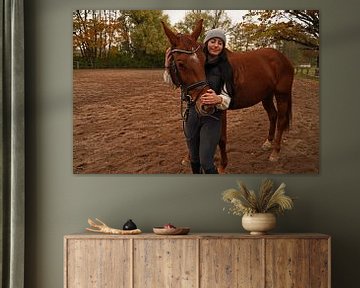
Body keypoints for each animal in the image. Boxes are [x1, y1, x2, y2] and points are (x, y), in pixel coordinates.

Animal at [162, 20, 294, 173]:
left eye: (203, 60)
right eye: (180, 64)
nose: (206, 105)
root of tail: (283, 58)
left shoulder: (221, 108)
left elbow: (221, 138)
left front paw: (222, 165)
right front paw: (188, 158)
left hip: (282, 95)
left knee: (281, 120)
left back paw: (275, 152)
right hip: (266, 96)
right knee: (273, 115)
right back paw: (268, 142)